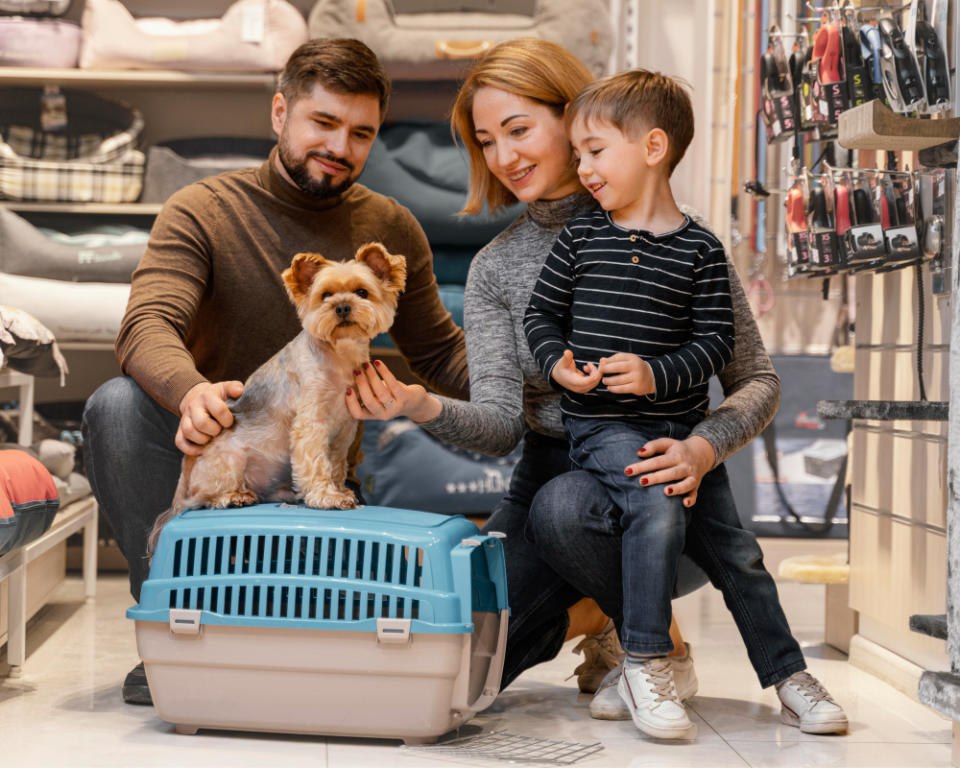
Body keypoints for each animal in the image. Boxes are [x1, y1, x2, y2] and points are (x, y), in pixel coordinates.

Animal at [146, 243, 404, 556]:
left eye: (362, 292)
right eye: (325, 295)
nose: (342, 307)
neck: (338, 353)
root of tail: (181, 487)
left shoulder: (344, 430)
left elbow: (335, 464)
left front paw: (338, 489)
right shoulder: (310, 423)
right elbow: (316, 463)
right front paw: (326, 496)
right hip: (227, 462)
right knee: (204, 498)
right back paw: (234, 496)